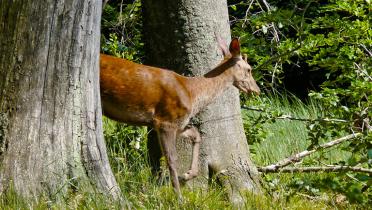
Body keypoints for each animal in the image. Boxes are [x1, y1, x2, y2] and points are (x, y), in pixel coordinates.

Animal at [100, 37, 260, 197]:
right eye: (249, 69)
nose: (257, 90)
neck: (192, 93)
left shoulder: (178, 123)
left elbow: (196, 135)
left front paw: (187, 175)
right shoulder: (165, 121)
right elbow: (171, 158)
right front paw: (178, 195)